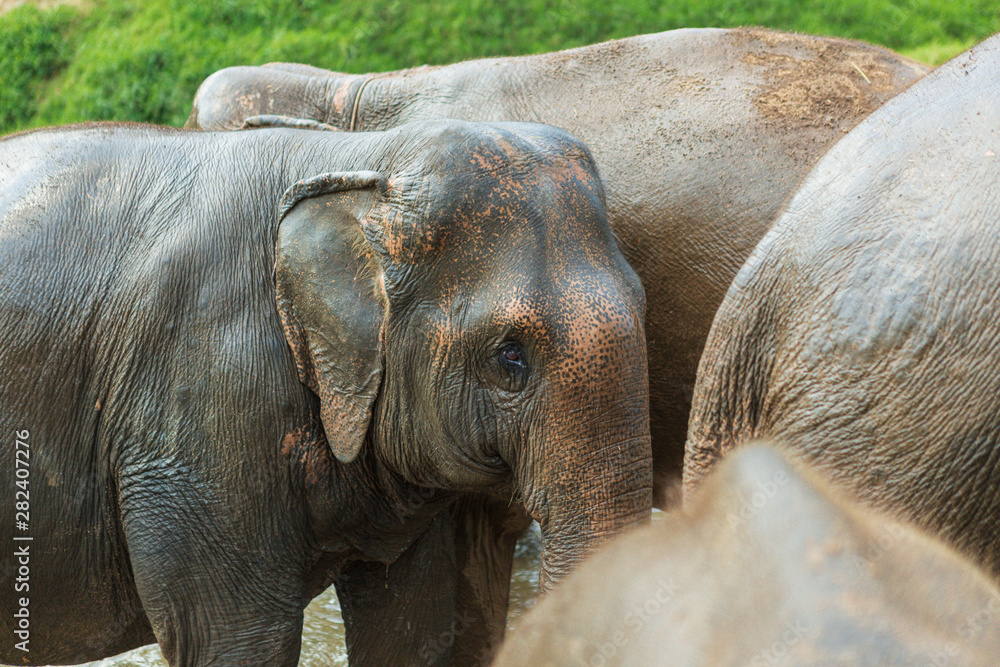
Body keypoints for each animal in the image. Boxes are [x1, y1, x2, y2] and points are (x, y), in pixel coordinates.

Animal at [0, 119, 652, 666]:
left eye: (645, 303)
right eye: (509, 355)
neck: (363, 159)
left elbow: (411, 627)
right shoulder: (198, 411)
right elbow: (236, 641)